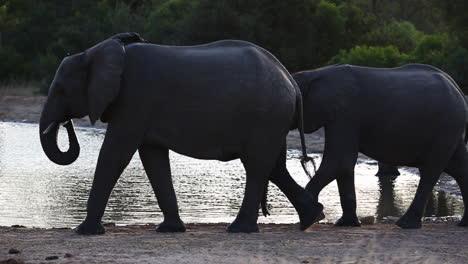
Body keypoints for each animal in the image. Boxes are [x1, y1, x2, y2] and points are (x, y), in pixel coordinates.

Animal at [39, 33, 322, 235]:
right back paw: (312, 218)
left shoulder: (134, 100)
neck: (94, 52)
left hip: (266, 115)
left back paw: (240, 229)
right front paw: (169, 229)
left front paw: (83, 231)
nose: (65, 123)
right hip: (273, 118)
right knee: (274, 166)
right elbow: (153, 159)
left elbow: (115, 153)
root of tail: (291, 81)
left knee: (256, 166)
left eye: (61, 89)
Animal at [292, 64, 468, 229]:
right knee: (458, 167)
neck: (314, 73)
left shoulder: (346, 113)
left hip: (446, 126)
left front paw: (315, 216)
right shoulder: (341, 116)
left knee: (431, 170)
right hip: (451, 128)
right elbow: (344, 165)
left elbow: (339, 160)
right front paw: (345, 223)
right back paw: (463, 223)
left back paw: (405, 224)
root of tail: (458, 89)